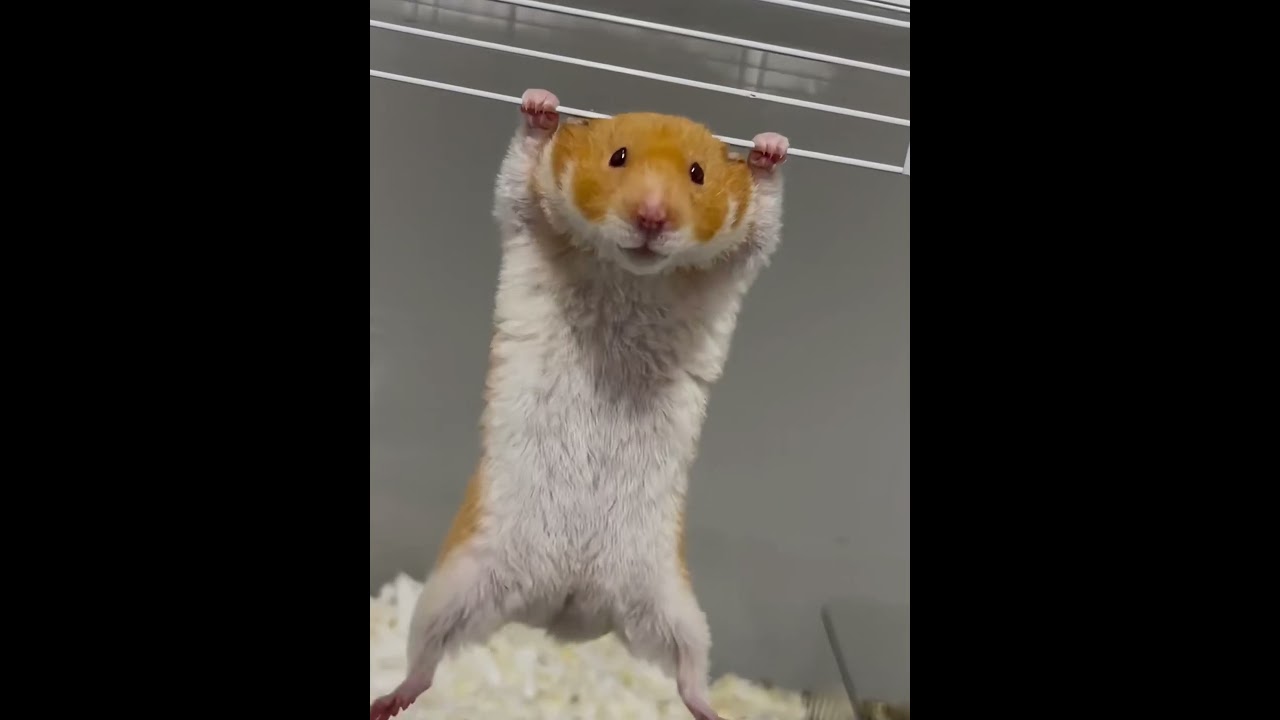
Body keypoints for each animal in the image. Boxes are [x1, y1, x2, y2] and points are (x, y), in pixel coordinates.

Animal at [371, 88, 788, 720]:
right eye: (617, 157)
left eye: (697, 173)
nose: (652, 218)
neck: (632, 272)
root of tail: (567, 607)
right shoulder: (524, 215)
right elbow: (523, 163)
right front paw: (542, 103)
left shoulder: (734, 263)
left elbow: (762, 214)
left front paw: (770, 146)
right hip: (456, 587)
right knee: (423, 662)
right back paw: (386, 701)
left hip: (674, 609)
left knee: (689, 673)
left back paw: (714, 711)